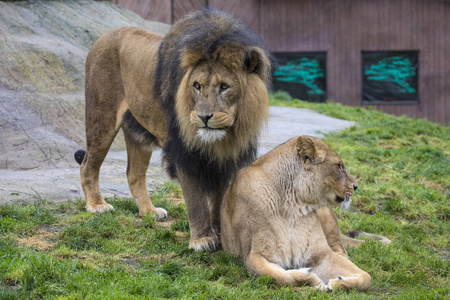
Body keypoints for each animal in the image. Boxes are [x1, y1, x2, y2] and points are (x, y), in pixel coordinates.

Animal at [74, 9, 270, 251]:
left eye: (224, 87)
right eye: (196, 86)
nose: (203, 117)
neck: (223, 138)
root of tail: (104, 36)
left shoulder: (226, 158)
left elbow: (220, 198)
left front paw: (222, 235)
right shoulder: (184, 152)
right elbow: (196, 200)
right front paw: (201, 240)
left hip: (138, 135)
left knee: (133, 173)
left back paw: (149, 211)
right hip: (102, 118)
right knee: (87, 164)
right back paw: (97, 205)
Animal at [221, 137, 372, 290]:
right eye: (339, 166)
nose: (356, 186)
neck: (293, 206)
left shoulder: (321, 254)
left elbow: (366, 277)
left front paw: (337, 283)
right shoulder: (254, 254)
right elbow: (280, 276)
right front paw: (311, 279)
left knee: (341, 249)